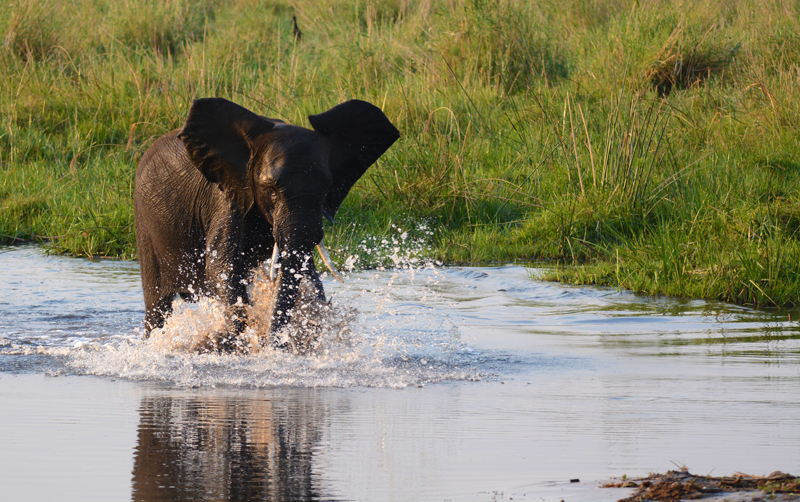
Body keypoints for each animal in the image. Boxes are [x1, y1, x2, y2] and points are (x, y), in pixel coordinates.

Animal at [134, 97, 399, 350]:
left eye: (326, 188)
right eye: (270, 189)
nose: (274, 343)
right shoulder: (226, 197)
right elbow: (222, 266)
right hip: (144, 222)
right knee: (157, 307)